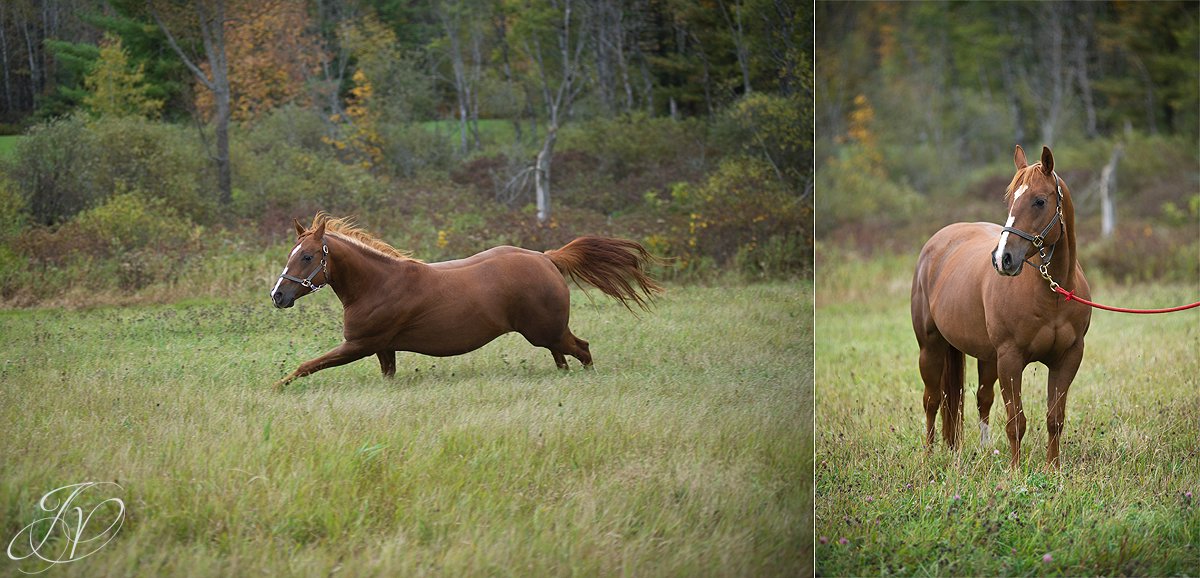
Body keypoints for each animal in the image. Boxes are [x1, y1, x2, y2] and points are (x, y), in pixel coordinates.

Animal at [270, 214, 667, 390]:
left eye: (307, 256)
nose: (278, 295)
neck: (378, 284)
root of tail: (547, 258)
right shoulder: (384, 347)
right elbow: (388, 375)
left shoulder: (359, 345)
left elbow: (307, 365)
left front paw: (276, 386)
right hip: (548, 333)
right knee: (564, 357)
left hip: (546, 331)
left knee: (582, 349)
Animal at [912, 145, 1094, 470]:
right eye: (1010, 201)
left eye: (1039, 201)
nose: (1002, 259)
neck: (1052, 295)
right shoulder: (1010, 359)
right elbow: (1016, 422)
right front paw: (1015, 471)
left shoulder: (1068, 358)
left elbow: (1055, 419)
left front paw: (1054, 468)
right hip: (930, 348)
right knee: (932, 400)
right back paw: (929, 455)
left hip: (987, 357)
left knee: (982, 398)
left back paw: (986, 451)